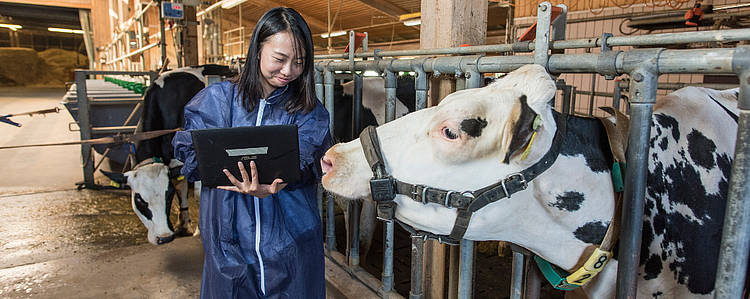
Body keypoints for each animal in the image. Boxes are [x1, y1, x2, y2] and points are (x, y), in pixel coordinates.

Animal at [101, 65, 234, 246]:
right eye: (139, 200)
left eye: (167, 195)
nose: (164, 237)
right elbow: (181, 187)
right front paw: (183, 225)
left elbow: (197, 193)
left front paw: (199, 230)